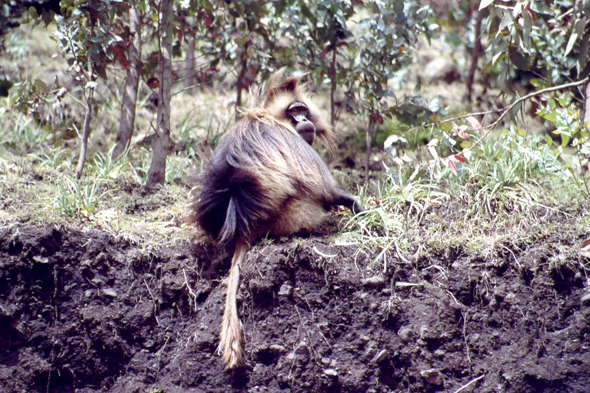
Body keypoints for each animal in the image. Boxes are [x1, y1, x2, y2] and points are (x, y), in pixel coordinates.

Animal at [194, 70, 366, 368]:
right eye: (293, 112)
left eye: (302, 110)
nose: (304, 120)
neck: (266, 115)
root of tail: (246, 225)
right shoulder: (287, 136)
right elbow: (323, 186)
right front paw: (352, 203)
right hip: (294, 214)